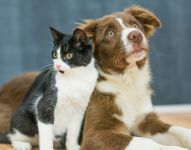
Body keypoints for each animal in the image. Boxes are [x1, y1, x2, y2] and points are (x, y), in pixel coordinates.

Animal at [0, 4, 190, 150]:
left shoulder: (146, 120)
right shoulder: (94, 134)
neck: (126, 82)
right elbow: (145, 143)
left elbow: (180, 130)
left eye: (135, 25)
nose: (136, 35)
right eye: (110, 33)